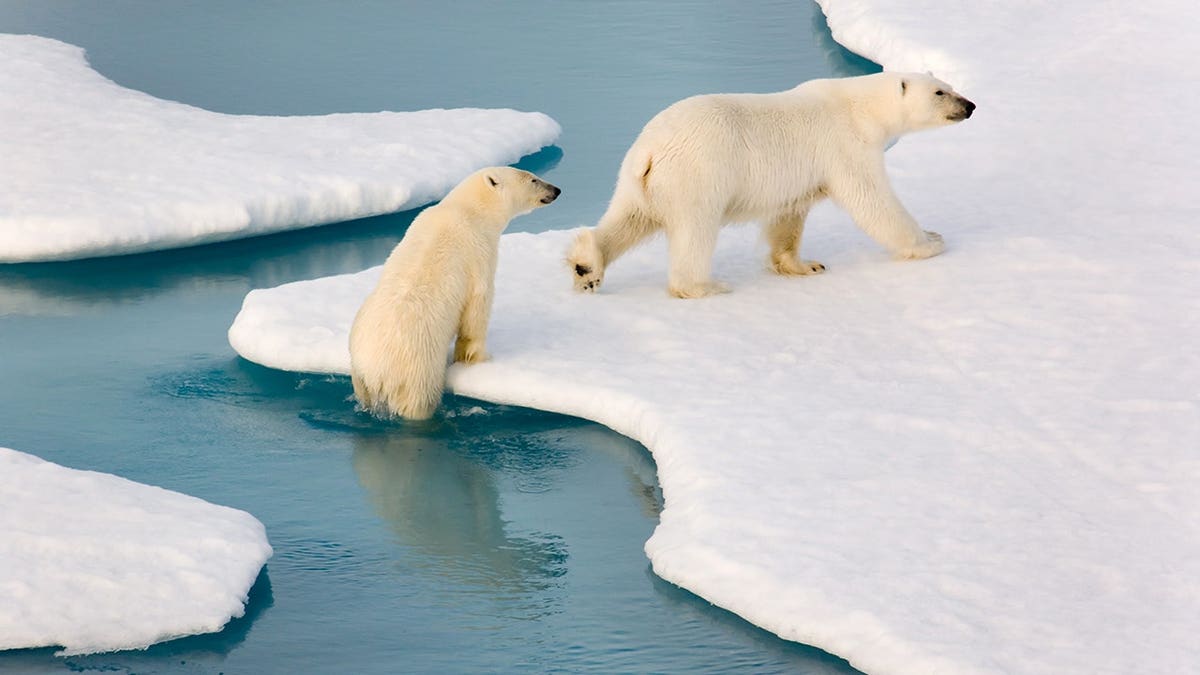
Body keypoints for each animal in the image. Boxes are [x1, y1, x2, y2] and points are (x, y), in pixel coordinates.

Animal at [349, 167, 560, 420]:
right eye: (533, 179)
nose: (557, 190)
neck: (466, 209)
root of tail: (375, 371)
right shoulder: (479, 252)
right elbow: (477, 308)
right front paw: (479, 358)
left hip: (358, 368)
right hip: (417, 369)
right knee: (419, 401)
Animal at [566, 72, 975, 298]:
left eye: (949, 85)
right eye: (940, 92)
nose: (970, 105)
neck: (861, 106)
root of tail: (649, 149)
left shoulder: (798, 179)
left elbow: (788, 215)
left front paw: (805, 265)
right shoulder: (845, 144)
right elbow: (871, 199)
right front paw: (930, 240)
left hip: (641, 182)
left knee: (628, 219)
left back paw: (586, 267)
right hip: (697, 173)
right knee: (695, 230)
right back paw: (704, 286)